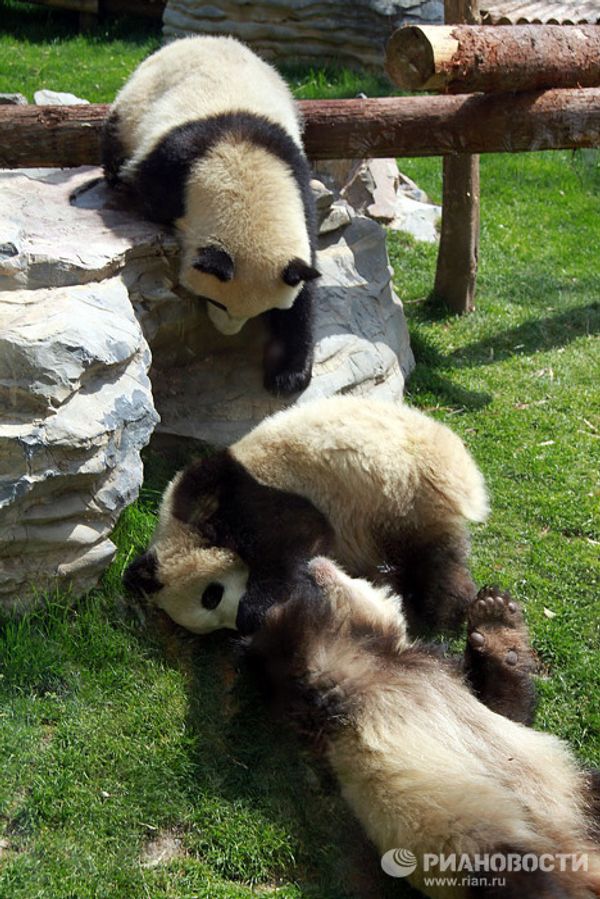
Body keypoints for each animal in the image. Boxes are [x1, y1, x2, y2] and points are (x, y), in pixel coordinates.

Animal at [102, 36, 320, 395]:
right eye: (218, 303)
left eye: (267, 310)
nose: (228, 332)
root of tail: (201, 38)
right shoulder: (168, 168)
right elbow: (149, 193)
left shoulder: (297, 187)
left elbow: (304, 294)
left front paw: (288, 373)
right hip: (137, 98)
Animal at [124, 396, 489, 636]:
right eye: (216, 626)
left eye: (210, 596)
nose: (239, 621)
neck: (183, 527)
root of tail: (455, 468)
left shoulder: (248, 498)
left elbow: (297, 540)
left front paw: (260, 608)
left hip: (400, 495)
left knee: (432, 559)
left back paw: (443, 610)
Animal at [245, 557, 600, 899]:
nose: (313, 562)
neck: (380, 662)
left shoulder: (447, 676)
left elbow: (507, 708)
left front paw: (496, 624)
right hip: (481, 846)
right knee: (522, 881)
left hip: (573, 793)